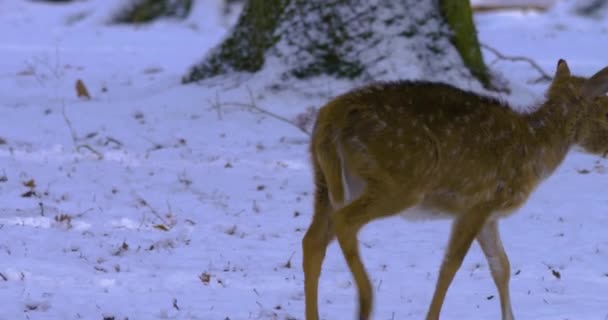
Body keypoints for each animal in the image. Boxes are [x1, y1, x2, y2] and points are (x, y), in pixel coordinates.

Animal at [302, 58, 608, 318]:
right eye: (605, 112)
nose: (606, 149)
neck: (535, 149)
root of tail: (329, 119)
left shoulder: (489, 212)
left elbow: (501, 266)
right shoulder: (477, 202)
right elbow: (451, 264)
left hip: (324, 181)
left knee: (313, 239)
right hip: (400, 180)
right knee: (345, 221)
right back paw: (366, 301)